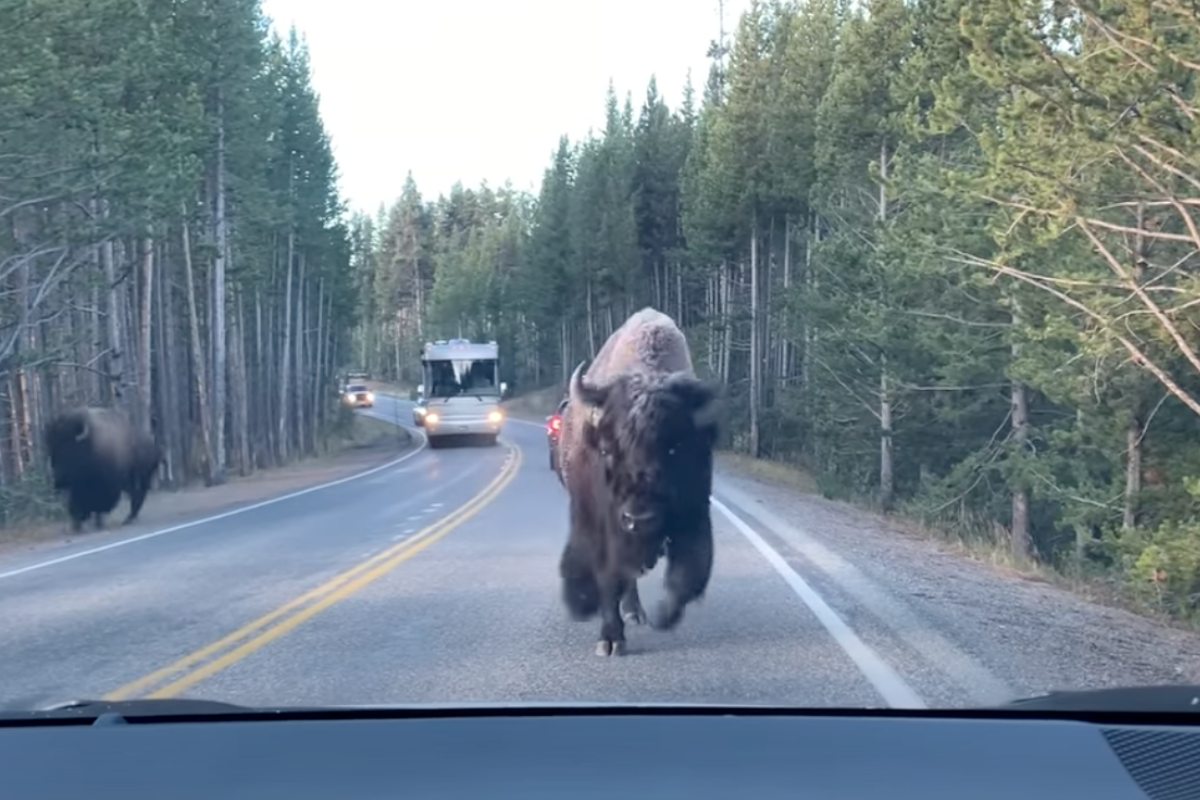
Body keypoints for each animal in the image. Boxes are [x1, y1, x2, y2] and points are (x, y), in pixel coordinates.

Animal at [554, 307, 715, 657]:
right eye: (606, 450)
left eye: (675, 447)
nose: (639, 519)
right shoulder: (602, 527)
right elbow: (609, 577)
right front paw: (610, 640)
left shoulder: (695, 513)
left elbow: (690, 571)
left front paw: (663, 615)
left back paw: (638, 612)